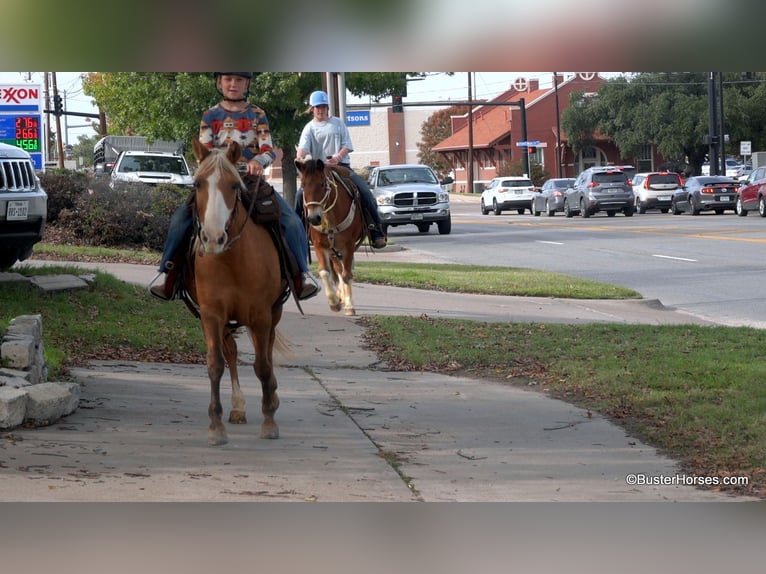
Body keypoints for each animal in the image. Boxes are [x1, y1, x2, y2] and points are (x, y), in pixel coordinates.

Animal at [185, 138, 288, 446]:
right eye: (197, 184)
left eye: (233, 185)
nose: (213, 238)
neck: (232, 259)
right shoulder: (211, 315)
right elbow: (216, 364)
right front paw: (216, 426)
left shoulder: (262, 314)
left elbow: (263, 365)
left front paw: (269, 422)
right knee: (231, 352)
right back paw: (238, 407)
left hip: (272, 314)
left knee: (266, 352)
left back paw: (272, 397)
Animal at [296, 160, 368, 318]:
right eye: (303, 185)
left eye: (322, 183)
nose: (313, 218)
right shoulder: (320, 246)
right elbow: (325, 272)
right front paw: (334, 302)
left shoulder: (348, 246)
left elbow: (347, 274)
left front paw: (349, 305)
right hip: (332, 250)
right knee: (337, 268)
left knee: (343, 270)